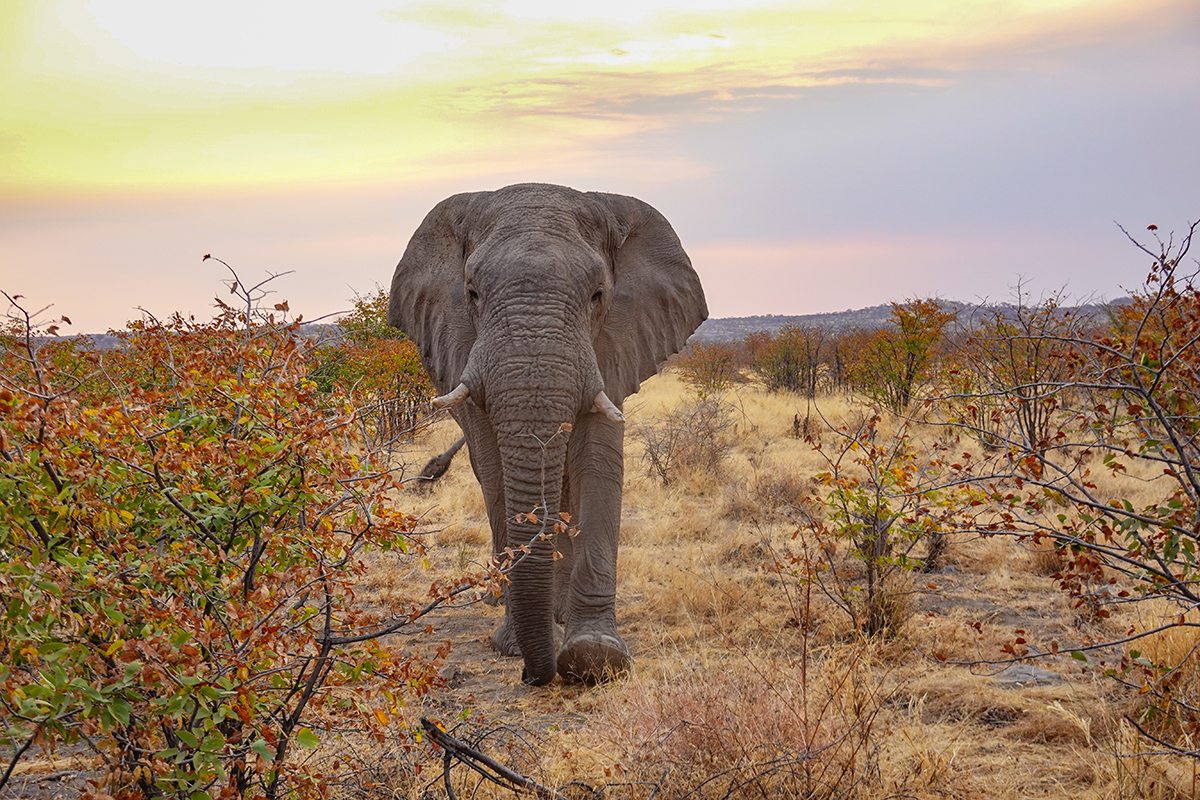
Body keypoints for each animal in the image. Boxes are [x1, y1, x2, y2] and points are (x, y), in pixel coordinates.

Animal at [388, 183, 707, 685]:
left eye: (597, 295)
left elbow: (599, 462)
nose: (538, 674)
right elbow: (497, 473)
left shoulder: (612, 344)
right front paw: (515, 645)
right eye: (472, 293)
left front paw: (594, 656)